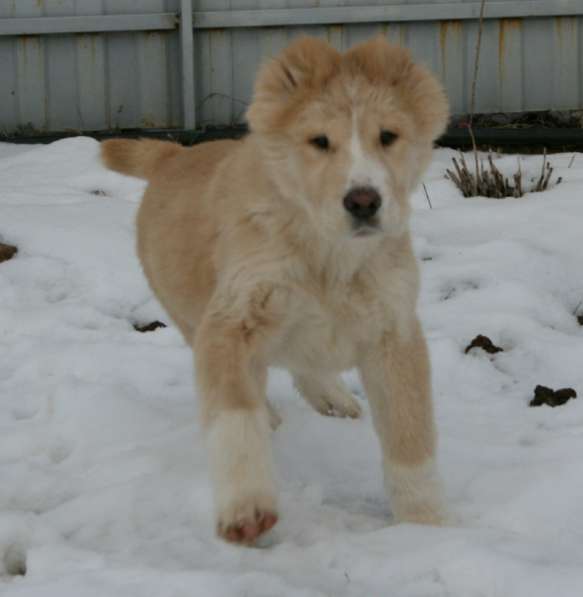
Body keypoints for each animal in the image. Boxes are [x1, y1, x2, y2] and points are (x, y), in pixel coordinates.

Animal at [102, 36, 450, 544]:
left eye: (388, 136)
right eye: (319, 142)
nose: (363, 201)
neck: (327, 256)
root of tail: (174, 155)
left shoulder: (395, 331)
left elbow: (411, 436)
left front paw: (427, 525)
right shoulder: (231, 321)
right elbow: (234, 416)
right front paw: (247, 508)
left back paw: (333, 398)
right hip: (188, 313)